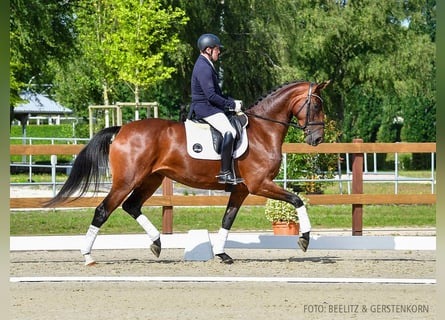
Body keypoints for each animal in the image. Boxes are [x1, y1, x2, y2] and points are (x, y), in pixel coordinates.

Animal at [45, 80, 330, 264]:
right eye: (316, 106)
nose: (317, 139)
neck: (262, 130)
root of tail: (122, 129)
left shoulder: (241, 189)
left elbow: (227, 219)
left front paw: (221, 254)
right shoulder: (260, 184)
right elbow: (297, 199)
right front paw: (305, 238)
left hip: (152, 179)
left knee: (131, 206)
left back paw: (156, 243)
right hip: (126, 180)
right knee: (104, 210)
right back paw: (88, 256)